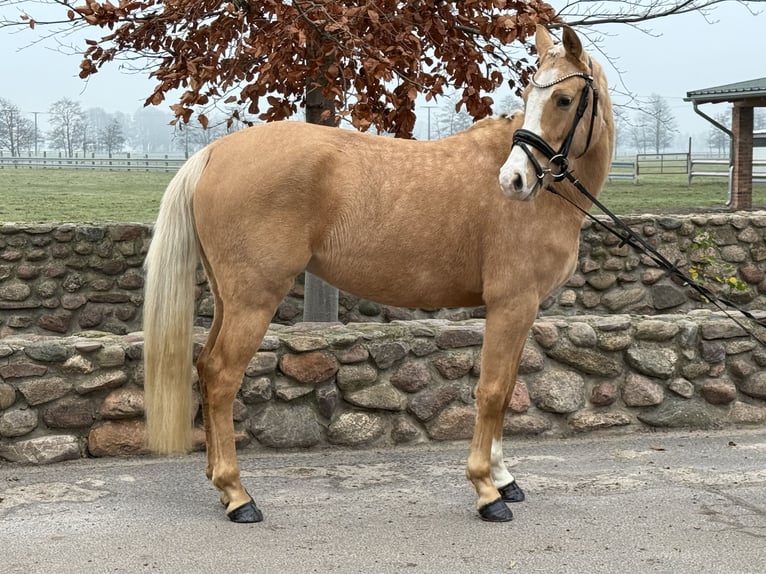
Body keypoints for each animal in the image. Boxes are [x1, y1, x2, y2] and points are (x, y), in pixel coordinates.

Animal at [142, 24, 612, 524]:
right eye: (532, 95)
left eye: (563, 99)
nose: (514, 181)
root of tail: (215, 152)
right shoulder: (510, 304)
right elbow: (491, 390)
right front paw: (487, 491)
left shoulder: (523, 309)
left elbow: (506, 392)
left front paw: (505, 479)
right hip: (253, 301)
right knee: (222, 377)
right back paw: (238, 495)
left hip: (228, 299)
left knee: (206, 368)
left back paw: (221, 484)